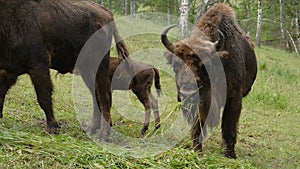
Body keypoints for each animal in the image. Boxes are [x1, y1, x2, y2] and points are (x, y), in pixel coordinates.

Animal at [0, 0, 127, 139]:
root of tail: (108, 14)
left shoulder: (39, 67)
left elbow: (44, 97)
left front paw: (53, 127)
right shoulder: (7, 70)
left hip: (98, 66)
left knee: (104, 95)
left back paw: (103, 134)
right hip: (86, 70)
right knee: (96, 94)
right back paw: (92, 128)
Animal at [162, 2, 258, 158]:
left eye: (204, 65)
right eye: (175, 65)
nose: (187, 93)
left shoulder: (234, 97)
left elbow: (229, 125)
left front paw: (229, 153)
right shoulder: (201, 102)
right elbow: (198, 125)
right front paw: (197, 149)